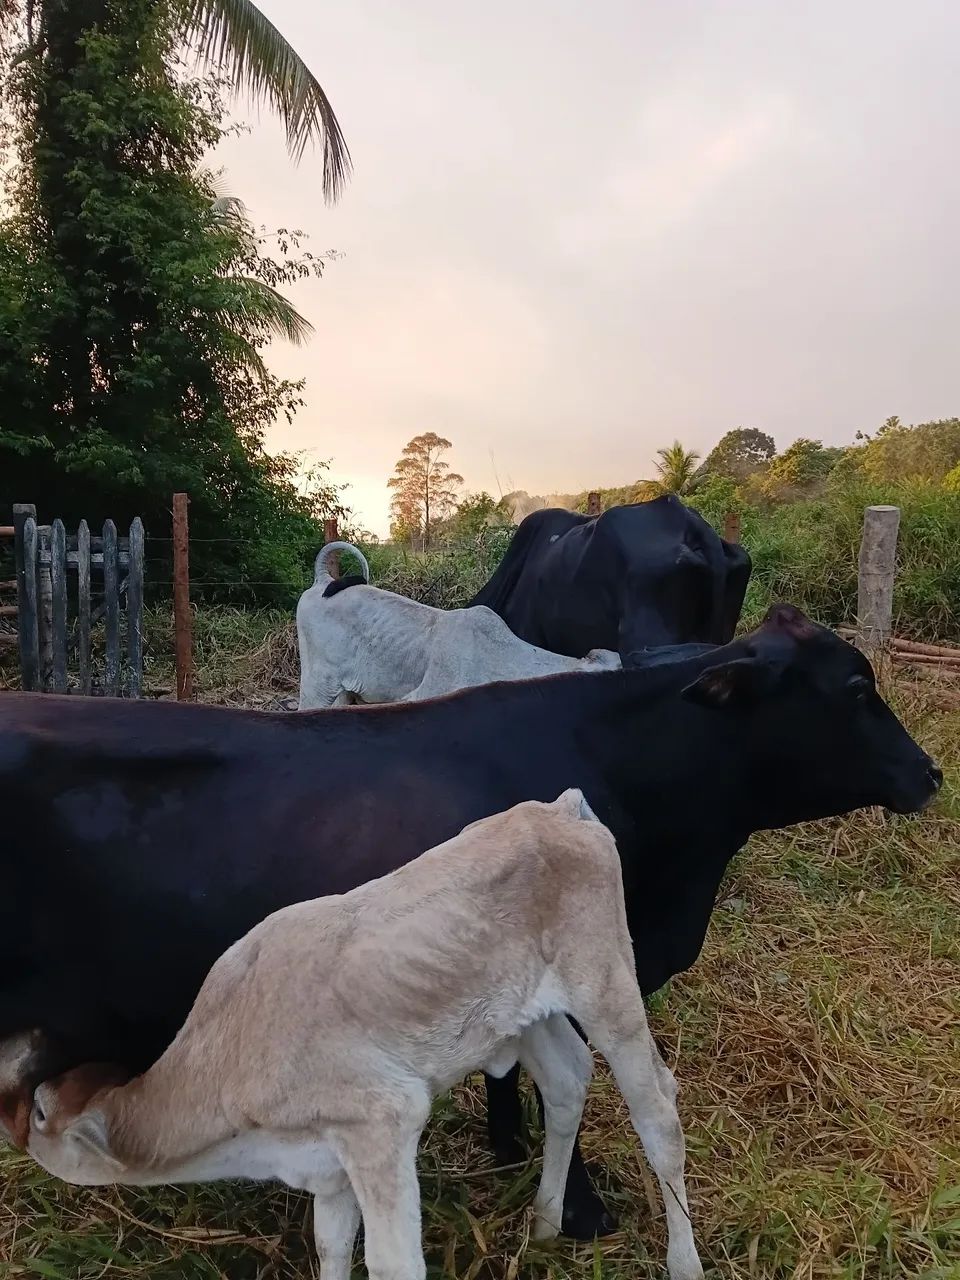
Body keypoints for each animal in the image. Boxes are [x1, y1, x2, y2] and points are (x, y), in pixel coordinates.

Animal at [0, 605, 941, 1241]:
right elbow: (558, 1082)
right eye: (856, 688)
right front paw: (581, 1206)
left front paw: (511, 1153)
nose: (931, 772)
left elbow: (513, 1074)